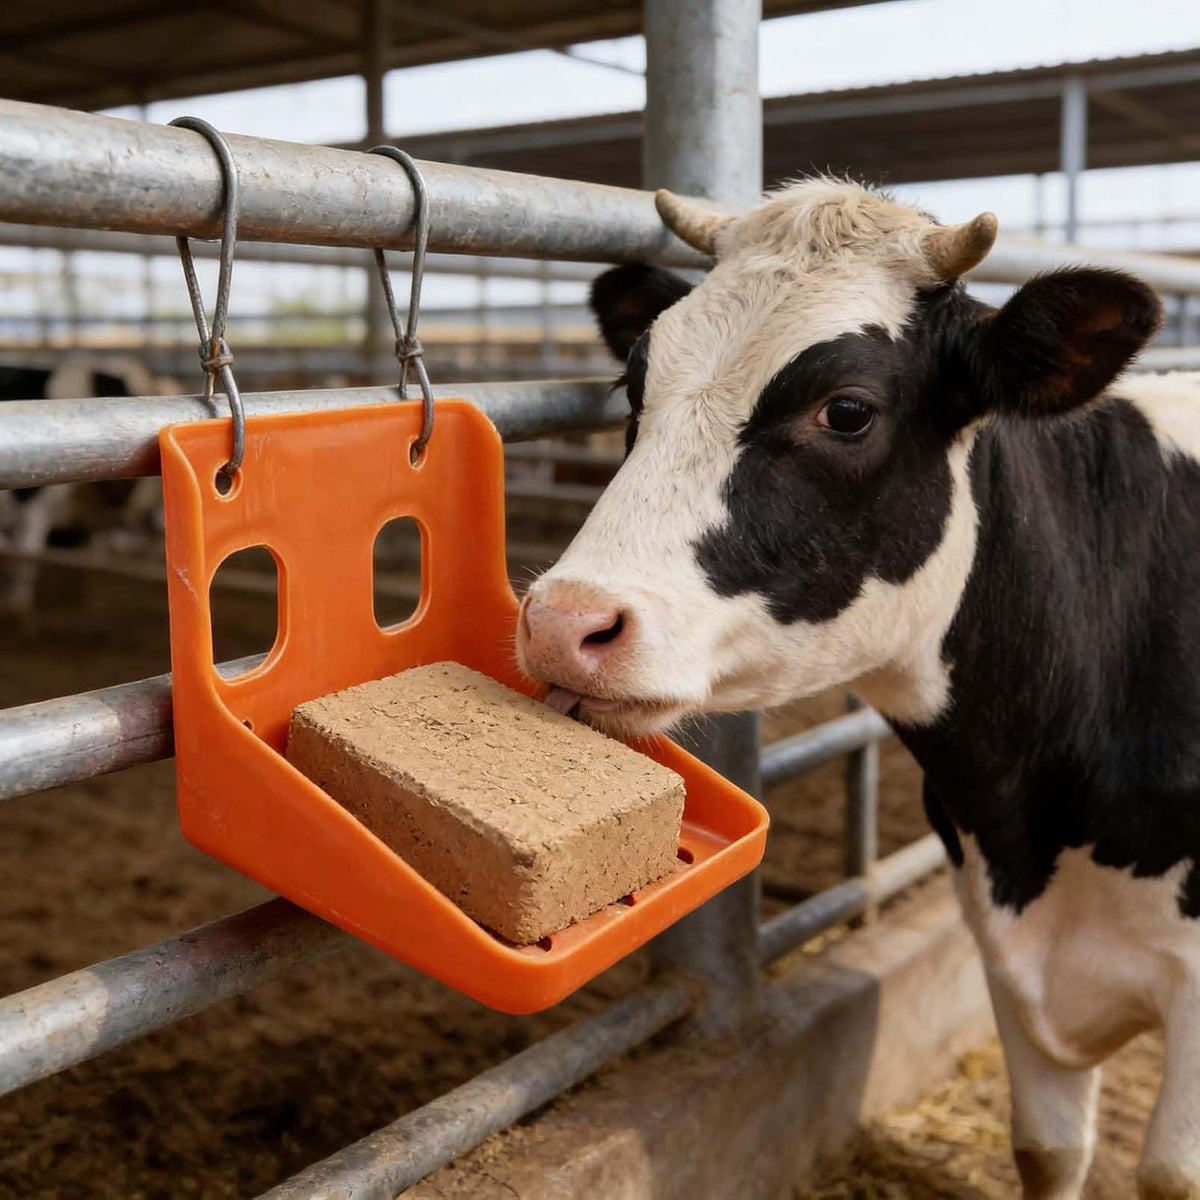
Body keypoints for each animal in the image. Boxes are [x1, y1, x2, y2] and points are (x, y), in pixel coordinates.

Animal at [515, 177, 1200, 1200]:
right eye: (637, 384)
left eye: (846, 410)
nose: (565, 623)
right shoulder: (1011, 947)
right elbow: (1048, 1151)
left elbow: (1168, 1173)